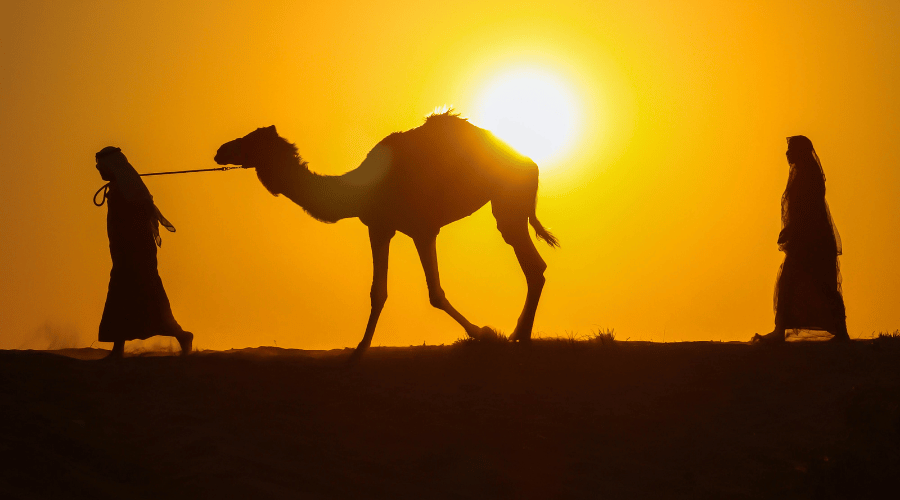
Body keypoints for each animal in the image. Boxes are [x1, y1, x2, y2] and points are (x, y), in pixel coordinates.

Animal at [214, 110, 558, 358]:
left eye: (252, 141)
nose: (220, 150)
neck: (358, 190)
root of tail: (531, 164)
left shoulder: (422, 228)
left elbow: (435, 292)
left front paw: (485, 332)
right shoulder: (380, 226)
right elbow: (377, 291)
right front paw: (359, 350)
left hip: (508, 201)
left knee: (532, 264)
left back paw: (520, 337)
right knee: (534, 266)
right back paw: (519, 335)